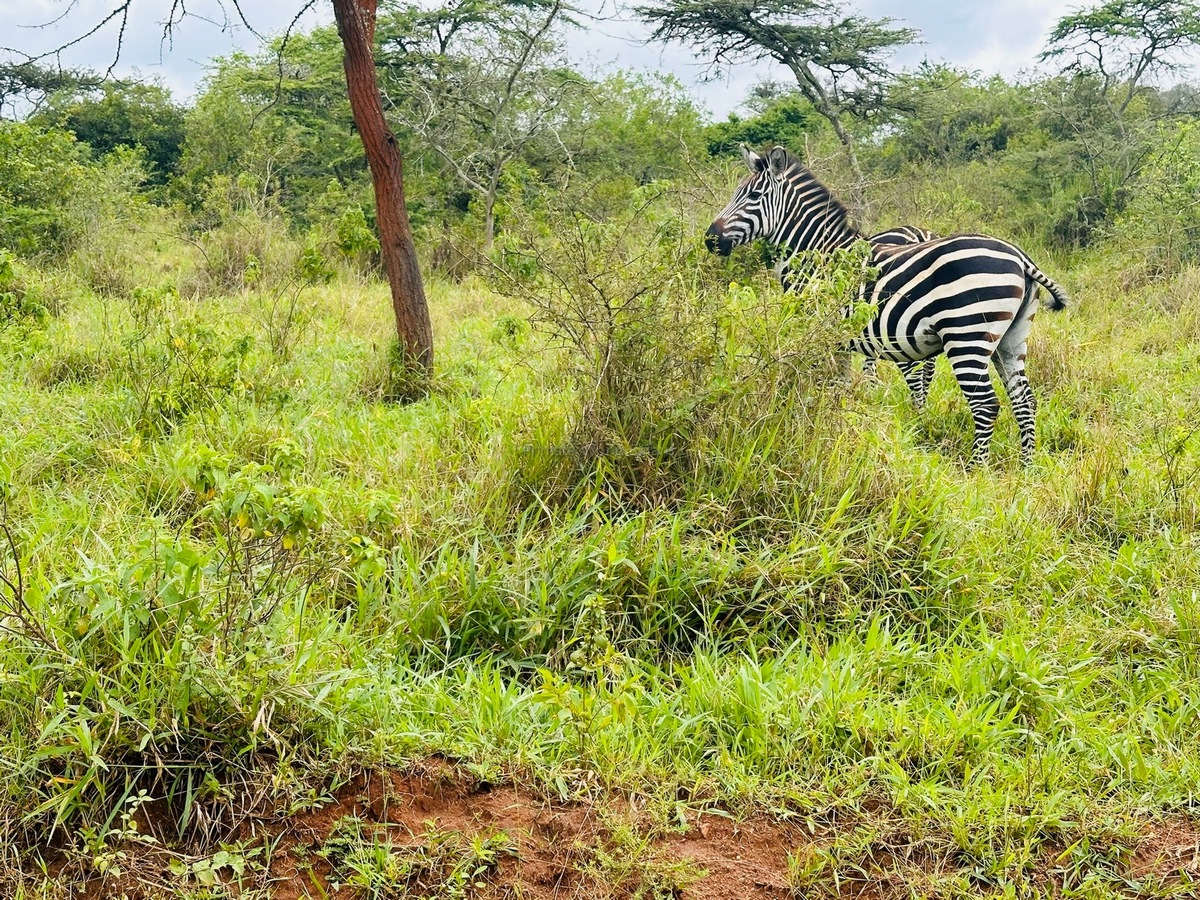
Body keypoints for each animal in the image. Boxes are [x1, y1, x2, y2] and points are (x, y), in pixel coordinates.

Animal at [700, 144, 1070, 468]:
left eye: (753, 197)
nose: (710, 240)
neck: (816, 253)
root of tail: (1020, 256)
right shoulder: (839, 340)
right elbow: (838, 385)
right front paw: (835, 430)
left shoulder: (819, 331)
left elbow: (818, 385)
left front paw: (816, 429)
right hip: (1010, 339)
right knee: (1024, 401)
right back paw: (1026, 469)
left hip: (967, 334)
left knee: (986, 404)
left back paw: (976, 471)